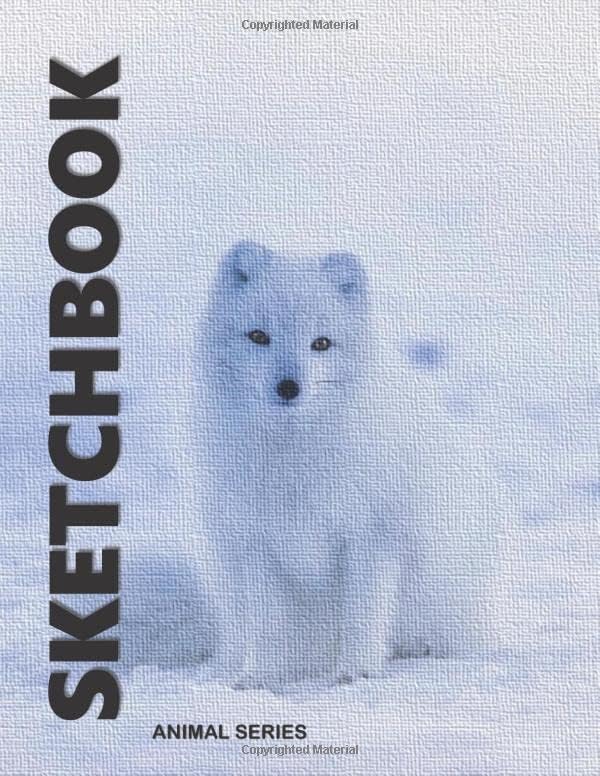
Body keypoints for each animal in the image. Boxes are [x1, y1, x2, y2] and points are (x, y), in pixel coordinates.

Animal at [199, 241, 427, 689]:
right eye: (259, 336)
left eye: (321, 343)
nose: (289, 387)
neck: (292, 455)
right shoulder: (257, 544)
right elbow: (267, 623)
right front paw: (258, 678)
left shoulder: (369, 536)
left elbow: (362, 614)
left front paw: (357, 671)